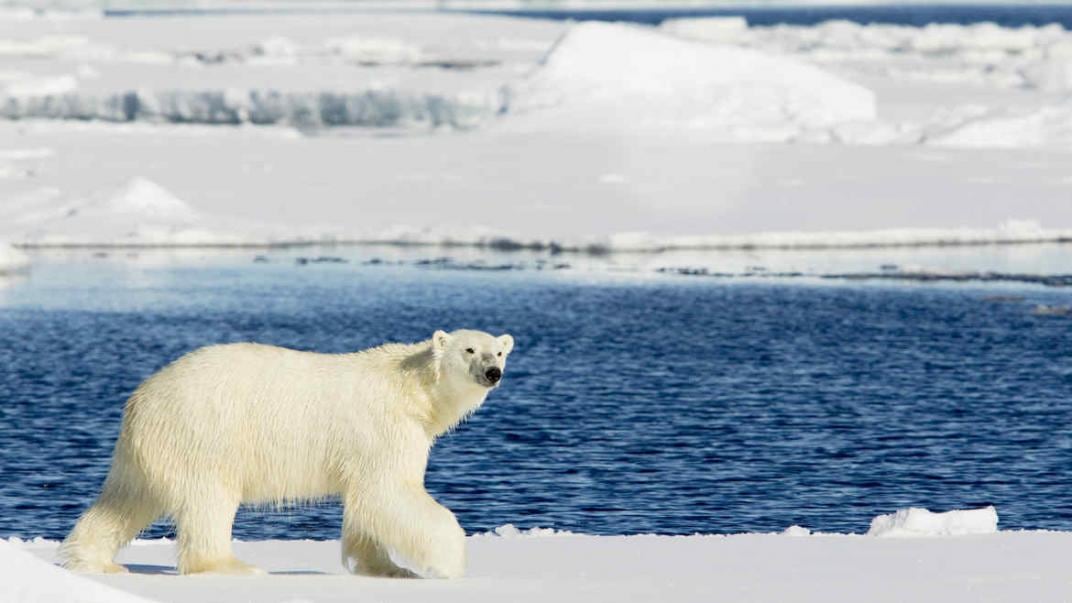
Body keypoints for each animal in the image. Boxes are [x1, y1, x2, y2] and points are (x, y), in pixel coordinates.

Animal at [61, 328, 514, 579]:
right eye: (469, 350)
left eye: (499, 351)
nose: (493, 372)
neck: (412, 390)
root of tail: (142, 397)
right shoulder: (384, 430)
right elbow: (390, 492)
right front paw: (449, 561)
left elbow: (366, 504)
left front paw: (388, 567)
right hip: (205, 434)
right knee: (209, 501)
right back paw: (232, 566)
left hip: (149, 450)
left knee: (125, 500)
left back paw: (93, 560)